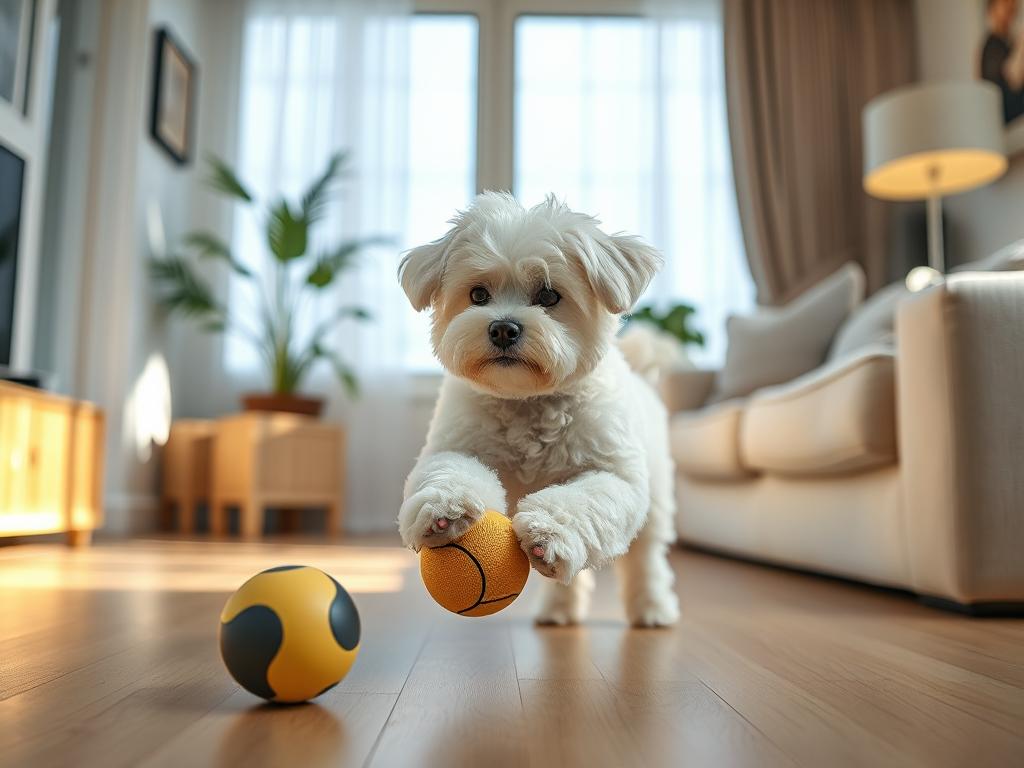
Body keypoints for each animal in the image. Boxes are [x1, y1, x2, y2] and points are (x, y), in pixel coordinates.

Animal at [399, 191, 679, 626]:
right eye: (478, 295)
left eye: (548, 296)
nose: (503, 328)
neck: (525, 401)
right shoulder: (457, 445)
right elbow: (450, 470)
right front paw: (445, 508)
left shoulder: (615, 476)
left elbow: (582, 502)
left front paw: (549, 531)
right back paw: (558, 611)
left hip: (657, 500)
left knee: (647, 559)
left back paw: (652, 610)